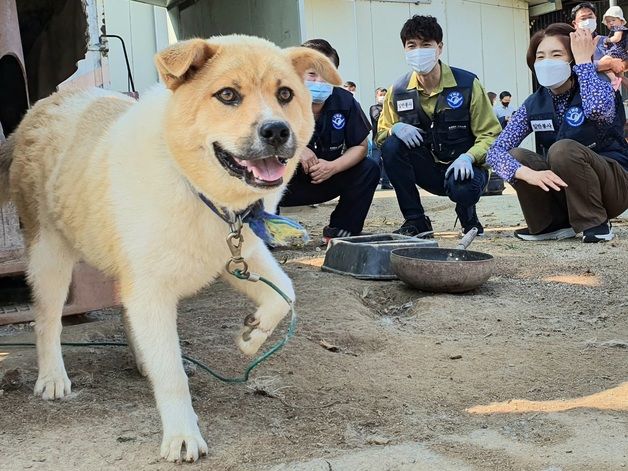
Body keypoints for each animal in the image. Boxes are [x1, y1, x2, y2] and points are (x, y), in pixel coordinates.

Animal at [0, 35, 338, 462]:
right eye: (227, 95)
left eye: (285, 94)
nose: (277, 131)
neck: (195, 188)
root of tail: (40, 107)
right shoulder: (152, 289)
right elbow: (172, 374)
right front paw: (181, 435)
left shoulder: (239, 253)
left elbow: (286, 294)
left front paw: (252, 336)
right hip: (52, 257)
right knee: (47, 320)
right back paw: (53, 377)